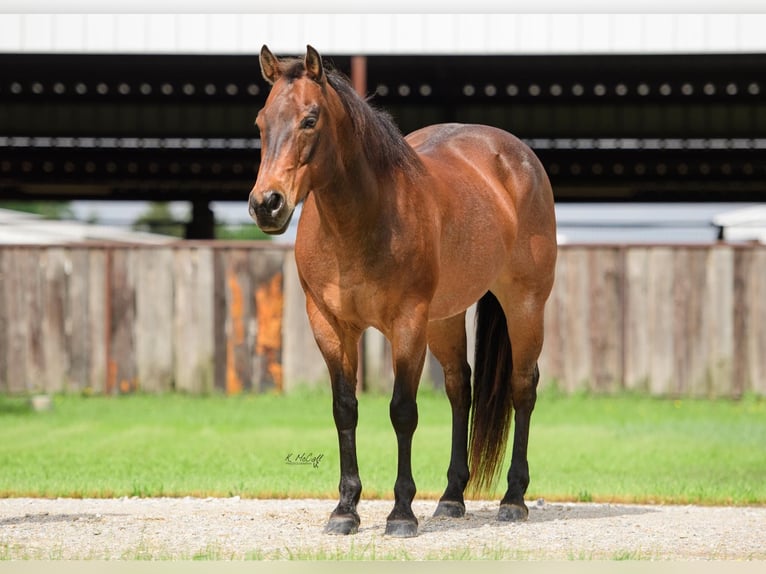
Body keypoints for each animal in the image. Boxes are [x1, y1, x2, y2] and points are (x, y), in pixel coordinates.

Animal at [250, 46, 560, 540]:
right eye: (261, 122)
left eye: (310, 119)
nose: (267, 204)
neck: (361, 220)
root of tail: (516, 155)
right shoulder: (330, 325)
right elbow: (345, 409)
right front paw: (345, 510)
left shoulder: (407, 323)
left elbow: (402, 411)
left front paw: (401, 513)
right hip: (445, 318)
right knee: (460, 388)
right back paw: (451, 498)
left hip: (525, 304)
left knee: (522, 388)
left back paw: (513, 499)